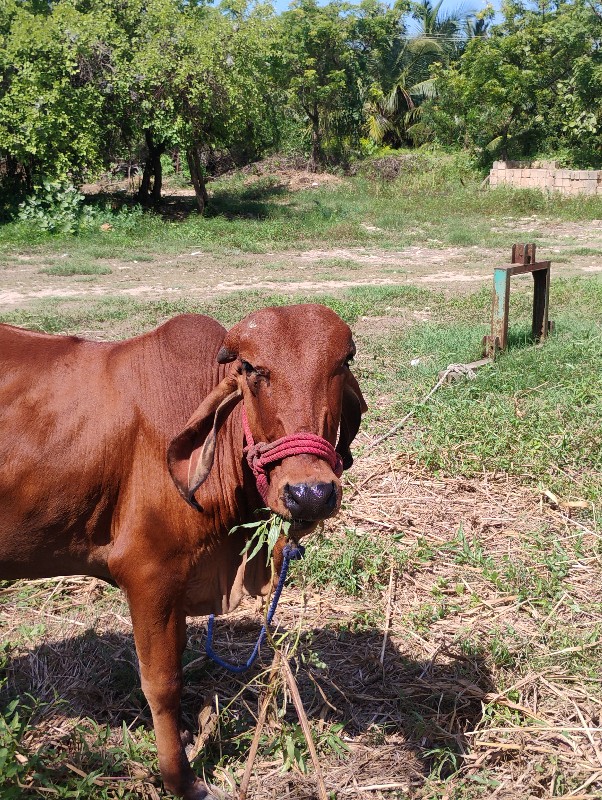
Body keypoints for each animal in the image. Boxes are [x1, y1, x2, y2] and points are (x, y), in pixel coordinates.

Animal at [0, 304, 366, 796]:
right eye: (250, 368)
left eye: (343, 362)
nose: (310, 493)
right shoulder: (148, 575)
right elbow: (162, 683)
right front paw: (180, 778)